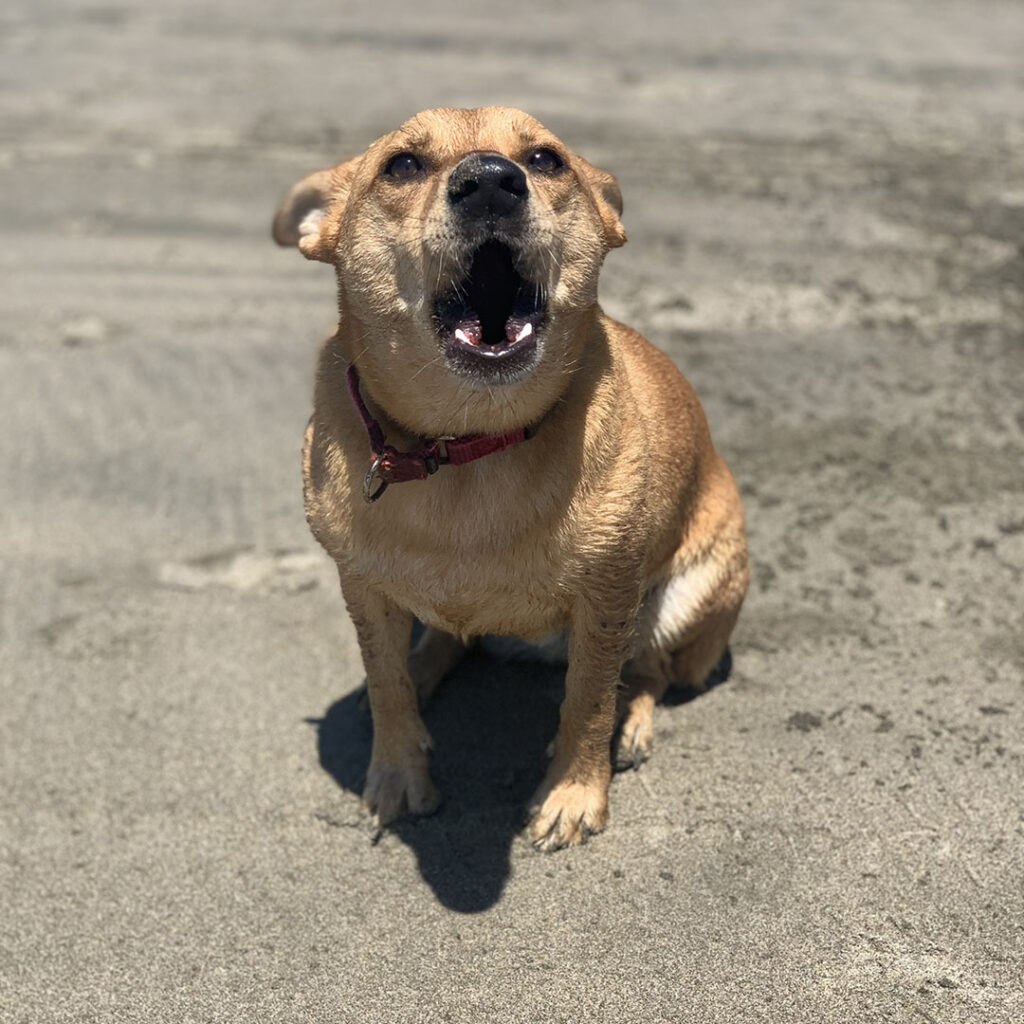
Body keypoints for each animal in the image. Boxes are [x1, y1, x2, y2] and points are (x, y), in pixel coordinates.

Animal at [272, 107, 748, 850]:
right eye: (401, 165)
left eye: (547, 159)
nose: (492, 182)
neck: (466, 445)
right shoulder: (363, 590)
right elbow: (385, 686)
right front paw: (397, 775)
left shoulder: (609, 597)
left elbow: (589, 700)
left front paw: (573, 794)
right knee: (442, 642)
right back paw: (425, 667)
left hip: (692, 595)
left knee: (652, 669)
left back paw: (634, 725)